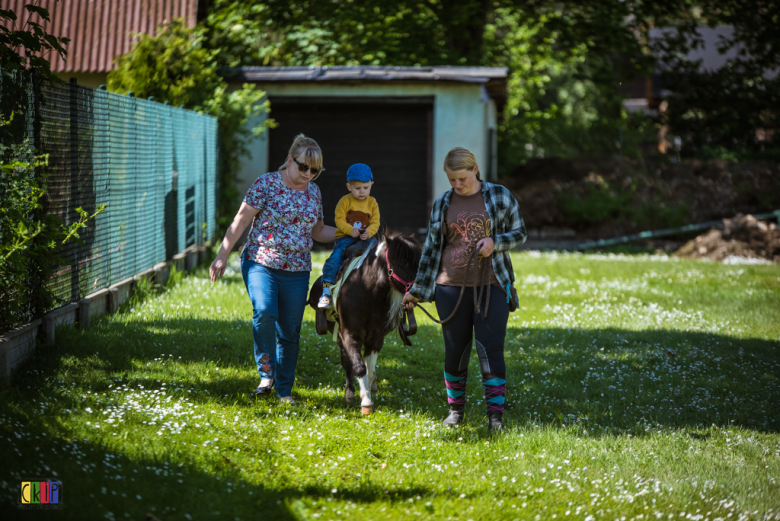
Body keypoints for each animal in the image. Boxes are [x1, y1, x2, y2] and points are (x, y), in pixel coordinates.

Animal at [308, 232, 424, 414]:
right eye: (404, 262)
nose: (417, 292)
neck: (367, 293)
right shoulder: (348, 335)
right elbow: (358, 366)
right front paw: (366, 402)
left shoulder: (376, 339)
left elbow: (370, 368)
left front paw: (369, 391)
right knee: (347, 362)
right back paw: (350, 392)